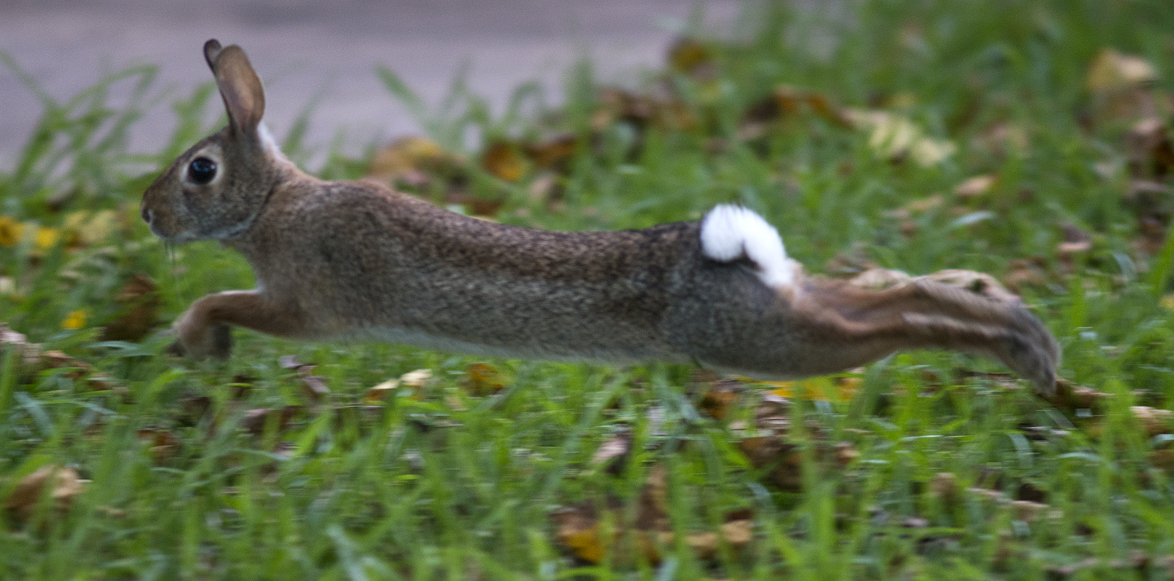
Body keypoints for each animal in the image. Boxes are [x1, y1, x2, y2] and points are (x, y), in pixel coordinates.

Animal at [141, 39, 1061, 396]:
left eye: (200, 170)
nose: (147, 213)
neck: (274, 202)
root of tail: (740, 256)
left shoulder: (308, 304)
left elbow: (227, 301)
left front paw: (195, 340)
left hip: (761, 343)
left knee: (886, 326)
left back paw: (1021, 351)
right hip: (779, 317)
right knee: (884, 299)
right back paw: (1016, 327)